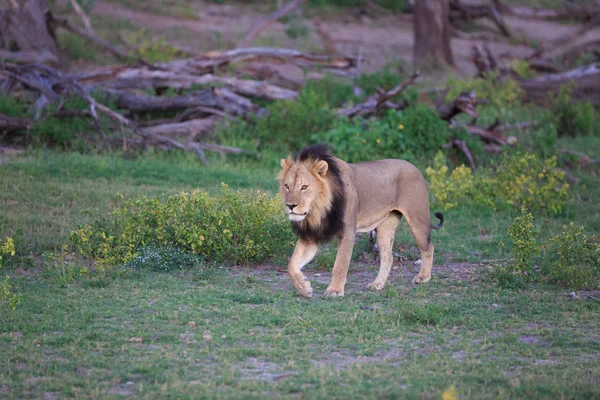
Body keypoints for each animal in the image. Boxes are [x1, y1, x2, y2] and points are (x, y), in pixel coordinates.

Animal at [278, 145, 442, 296]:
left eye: (304, 187)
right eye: (286, 186)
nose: (290, 206)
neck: (318, 210)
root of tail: (415, 167)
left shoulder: (348, 232)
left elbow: (340, 264)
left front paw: (334, 290)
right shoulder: (310, 236)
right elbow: (291, 264)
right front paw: (304, 287)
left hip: (417, 221)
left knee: (428, 248)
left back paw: (423, 277)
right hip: (385, 229)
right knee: (388, 258)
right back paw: (377, 284)